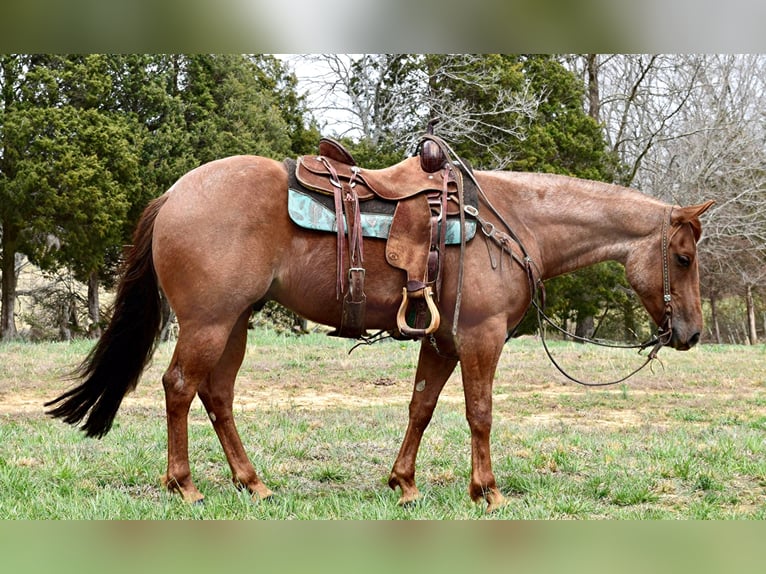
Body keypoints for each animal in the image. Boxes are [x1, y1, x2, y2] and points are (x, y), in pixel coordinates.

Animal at [45, 152, 716, 512]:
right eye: (683, 257)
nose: (690, 333)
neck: (514, 223)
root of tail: (175, 194)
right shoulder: (480, 338)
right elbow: (479, 413)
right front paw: (487, 492)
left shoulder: (442, 341)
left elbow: (420, 408)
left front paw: (405, 484)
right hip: (209, 322)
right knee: (181, 387)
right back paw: (185, 487)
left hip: (234, 323)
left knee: (218, 395)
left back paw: (253, 483)